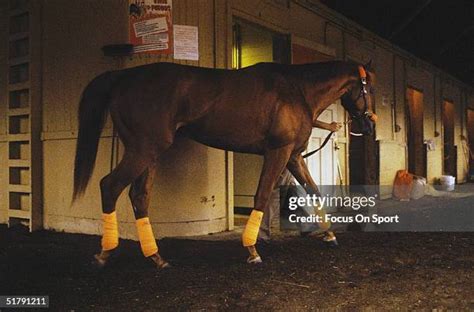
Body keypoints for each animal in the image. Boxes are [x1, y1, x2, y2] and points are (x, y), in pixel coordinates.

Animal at [72, 61, 376, 268]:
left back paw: (156, 257)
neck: (296, 90)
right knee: (110, 186)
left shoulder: (294, 156)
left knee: (139, 196)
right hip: (143, 149)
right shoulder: (277, 152)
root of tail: (123, 76)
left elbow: (313, 190)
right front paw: (252, 250)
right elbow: (261, 196)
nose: (370, 125)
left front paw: (330, 236)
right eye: (370, 88)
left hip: (149, 153)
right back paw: (105, 252)